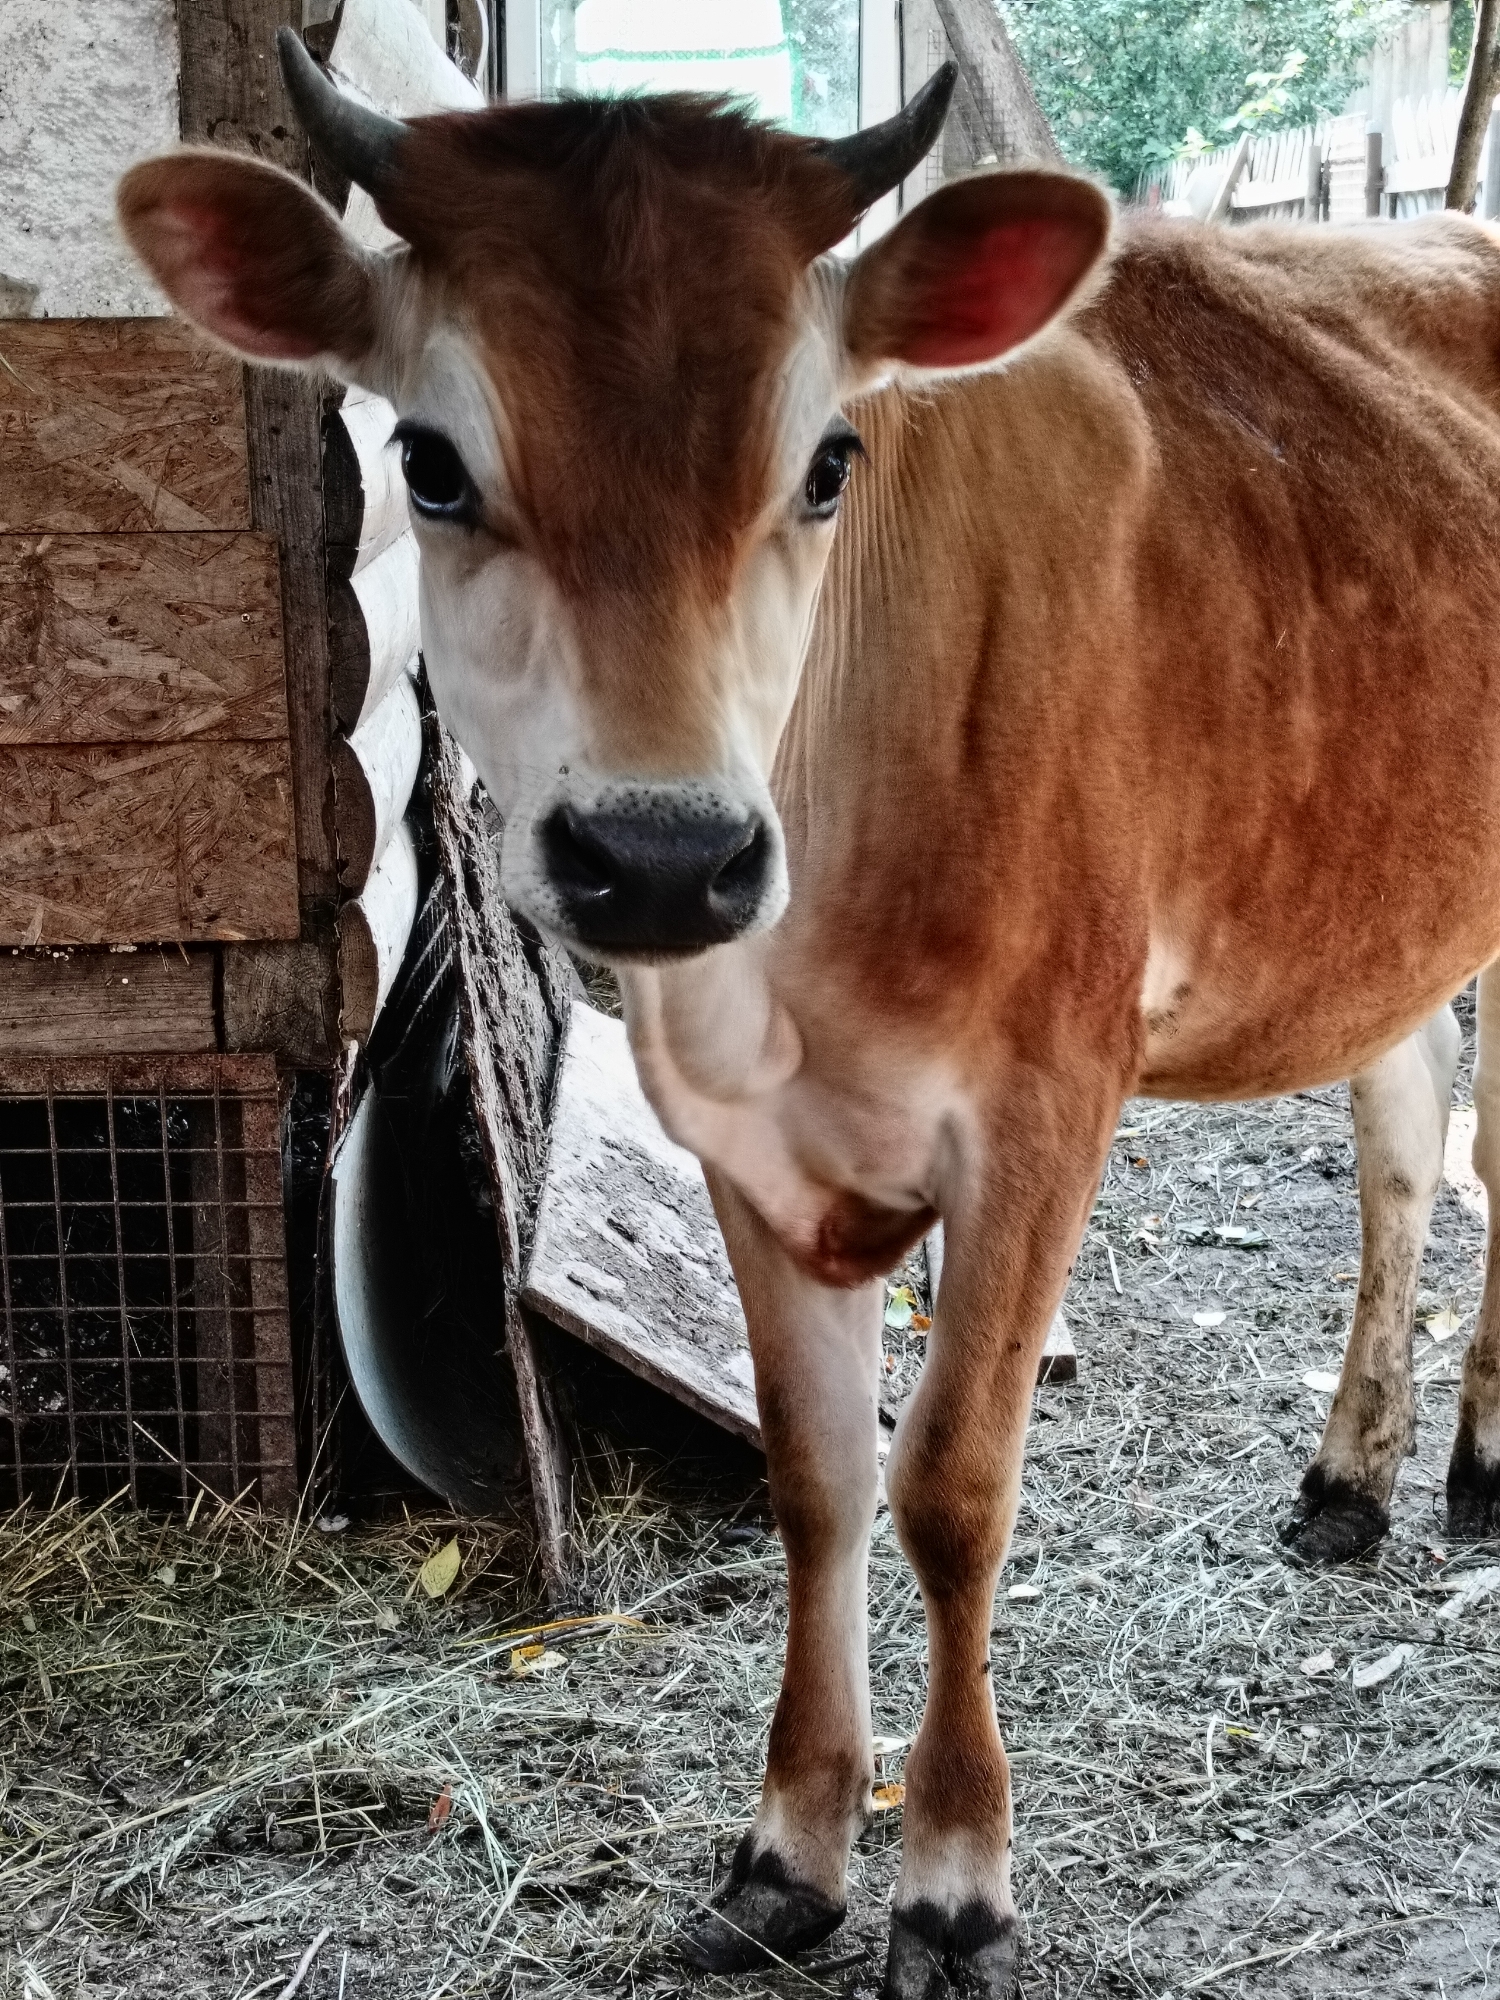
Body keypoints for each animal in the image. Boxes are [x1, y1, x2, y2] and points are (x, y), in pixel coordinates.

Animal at [118, 35, 1500, 1998]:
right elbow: (820, 1478)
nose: (663, 854)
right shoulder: (741, 1142)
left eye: (830, 457)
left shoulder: (1046, 1100)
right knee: (1403, 1122)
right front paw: (788, 1853)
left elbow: (952, 1486)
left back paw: (1476, 1460)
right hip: (1377, 878)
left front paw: (952, 1878)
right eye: (431, 464)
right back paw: (1354, 1473)